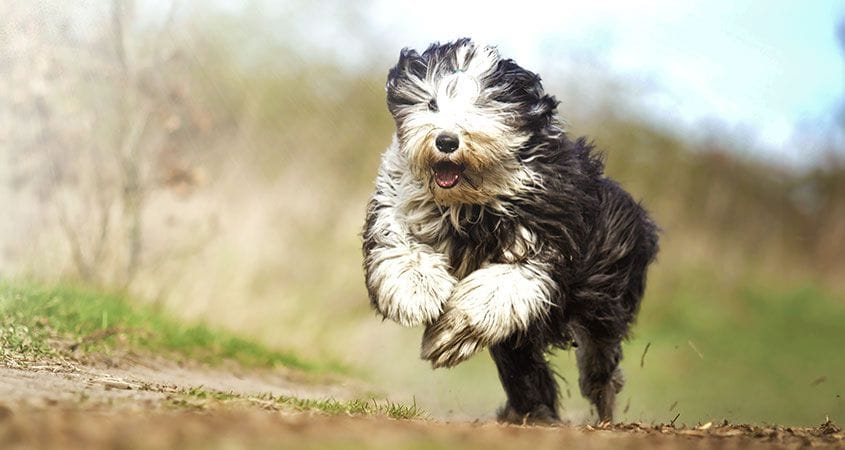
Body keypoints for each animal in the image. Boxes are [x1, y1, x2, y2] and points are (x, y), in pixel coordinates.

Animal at [360, 39, 656, 426]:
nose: (446, 141)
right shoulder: (398, 199)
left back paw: (600, 410)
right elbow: (398, 242)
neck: (470, 203)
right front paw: (416, 291)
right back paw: (531, 409)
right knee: (522, 361)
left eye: (481, 106)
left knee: (598, 365)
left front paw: (455, 329)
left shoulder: (547, 239)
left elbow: (503, 285)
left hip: (601, 305)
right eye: (431, 103)